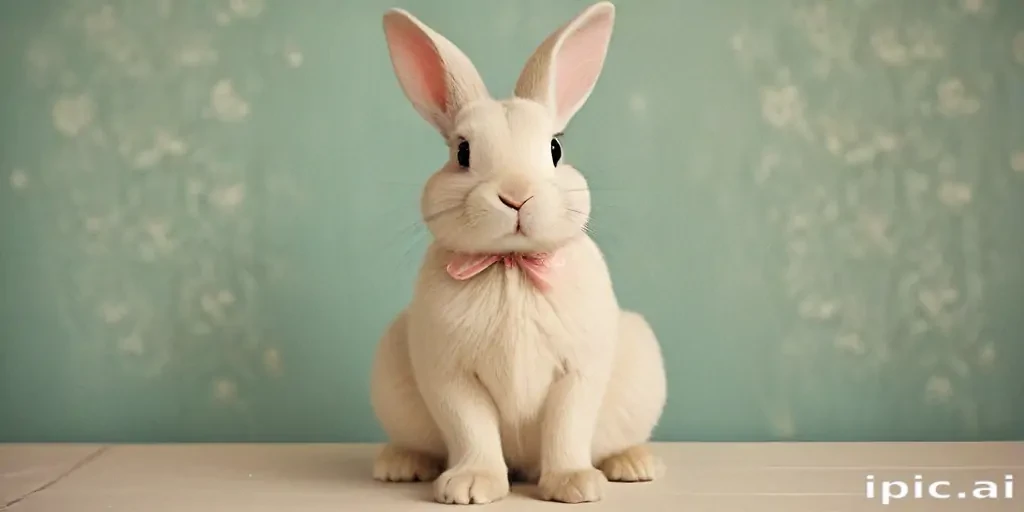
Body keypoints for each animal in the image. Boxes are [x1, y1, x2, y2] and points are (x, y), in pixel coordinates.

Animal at [369, 1, 667, 505]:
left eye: (555, 148)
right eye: (462, 152)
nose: (516, 195)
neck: (511, 264)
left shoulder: (578, 374)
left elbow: (567, 429)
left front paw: (575, 485)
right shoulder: (451, 379)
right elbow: (472, 430)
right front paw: (471, 486)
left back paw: (634, 464)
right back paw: (399, 464)